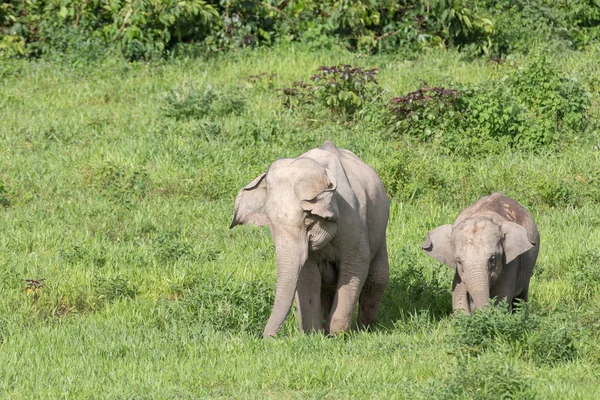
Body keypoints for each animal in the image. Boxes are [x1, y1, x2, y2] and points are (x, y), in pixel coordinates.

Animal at [230, 141, 390, 338]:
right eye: (270, 221)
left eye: (307, 218)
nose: (266, 339)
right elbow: (308, 275)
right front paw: (314, 335)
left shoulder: (351, 217)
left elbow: (356, 265)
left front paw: (336, 335)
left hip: (379, 228)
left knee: (376, 279)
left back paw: (365, 329)